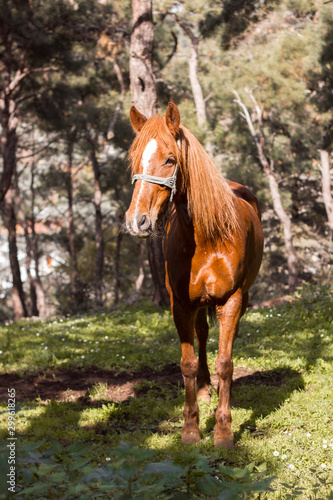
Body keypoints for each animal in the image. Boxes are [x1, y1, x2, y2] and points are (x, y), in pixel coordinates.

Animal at [124, 102, 262, 450]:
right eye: (134, 158)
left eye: (170, 160)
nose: (137, 221)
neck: (208, 236)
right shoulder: (181, 305)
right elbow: (187, 363)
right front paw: (190, 429)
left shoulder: (230, 301)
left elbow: (226, 363)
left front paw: (224, 432)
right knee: (202, 334)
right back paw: (203, 388)